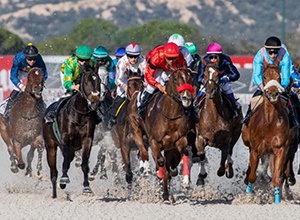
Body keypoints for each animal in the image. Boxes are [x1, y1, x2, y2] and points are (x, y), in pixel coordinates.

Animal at [42, 64, 101, 199]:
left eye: (99, 81)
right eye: (86, 82)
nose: (95, 102)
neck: (80, 114)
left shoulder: (87, 139)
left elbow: (84, 163)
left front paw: (87, 187)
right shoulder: (66, 139)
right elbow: (64, 161)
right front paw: (64, 179)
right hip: (50, 145)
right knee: (54, 172)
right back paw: (55, 193)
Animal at [133, 67, 195, 203]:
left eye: (190, 78)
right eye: (176, 78)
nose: (186, 98)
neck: (170, 115)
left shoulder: (179, 140)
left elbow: (184, 154)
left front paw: (185, 179)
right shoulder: (154, 141)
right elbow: (161, 163)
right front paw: (161, 177)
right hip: (136, 130)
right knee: (145, 151)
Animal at [196, 57, 243, 185]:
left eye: (218, 74)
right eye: (204, 74)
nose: (210, 90)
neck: (213, 116)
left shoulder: (227, 139)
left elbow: (223, 160)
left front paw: (226, 169)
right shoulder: (200, 136)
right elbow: (201, 153)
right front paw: (202, 174)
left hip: (237, 132)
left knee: (230, 152)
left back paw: (229, 168)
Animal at [241, 59, 292, 204]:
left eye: (279, 77)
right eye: (264, 77)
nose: (273, 93)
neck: (269, 122)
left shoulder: (280, 149)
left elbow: (277, 178)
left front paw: (277, 200)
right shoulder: (255, 149)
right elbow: (252, 175)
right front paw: (249, 196)